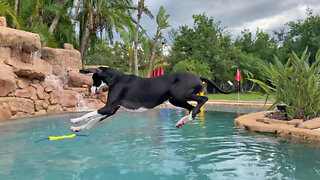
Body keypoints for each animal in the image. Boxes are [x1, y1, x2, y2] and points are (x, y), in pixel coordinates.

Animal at [70, 67, 234, 131]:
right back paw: (184, 120)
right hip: (175, 99)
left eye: (94, 79)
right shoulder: (111, 110)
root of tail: (198, 76)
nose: (90, 91)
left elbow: (90, 113)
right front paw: (78, 128)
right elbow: (92, 121)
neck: (115, 79)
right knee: (193, 108)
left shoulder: (109, 107)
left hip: (179, 94)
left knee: (203, 99)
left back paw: (189, 116)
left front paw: (76, 120)